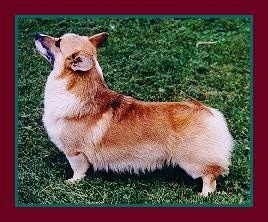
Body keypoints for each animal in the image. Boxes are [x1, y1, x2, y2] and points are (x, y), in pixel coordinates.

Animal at [34, 31, 233, 196]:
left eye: (58, 42)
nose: (37, 35)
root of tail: (211, 113)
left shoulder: (74, 152)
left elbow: (78, 170)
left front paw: (72, 182)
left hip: (193, 161)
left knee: (210, 177)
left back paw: (204, 195)